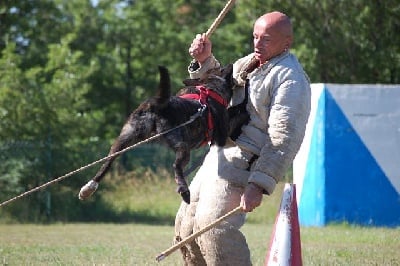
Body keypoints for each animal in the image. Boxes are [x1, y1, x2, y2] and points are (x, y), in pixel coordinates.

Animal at [78, 64, 247, 204]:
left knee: (108, 162)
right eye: (222, 70)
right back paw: (184, 191)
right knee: (176, 166)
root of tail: (157, 104)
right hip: (183, 147)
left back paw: (88, 188)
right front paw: (243, 109)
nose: (231, 66)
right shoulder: (223, 133)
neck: (210, 88)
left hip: (124, 139)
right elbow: (234, 114)